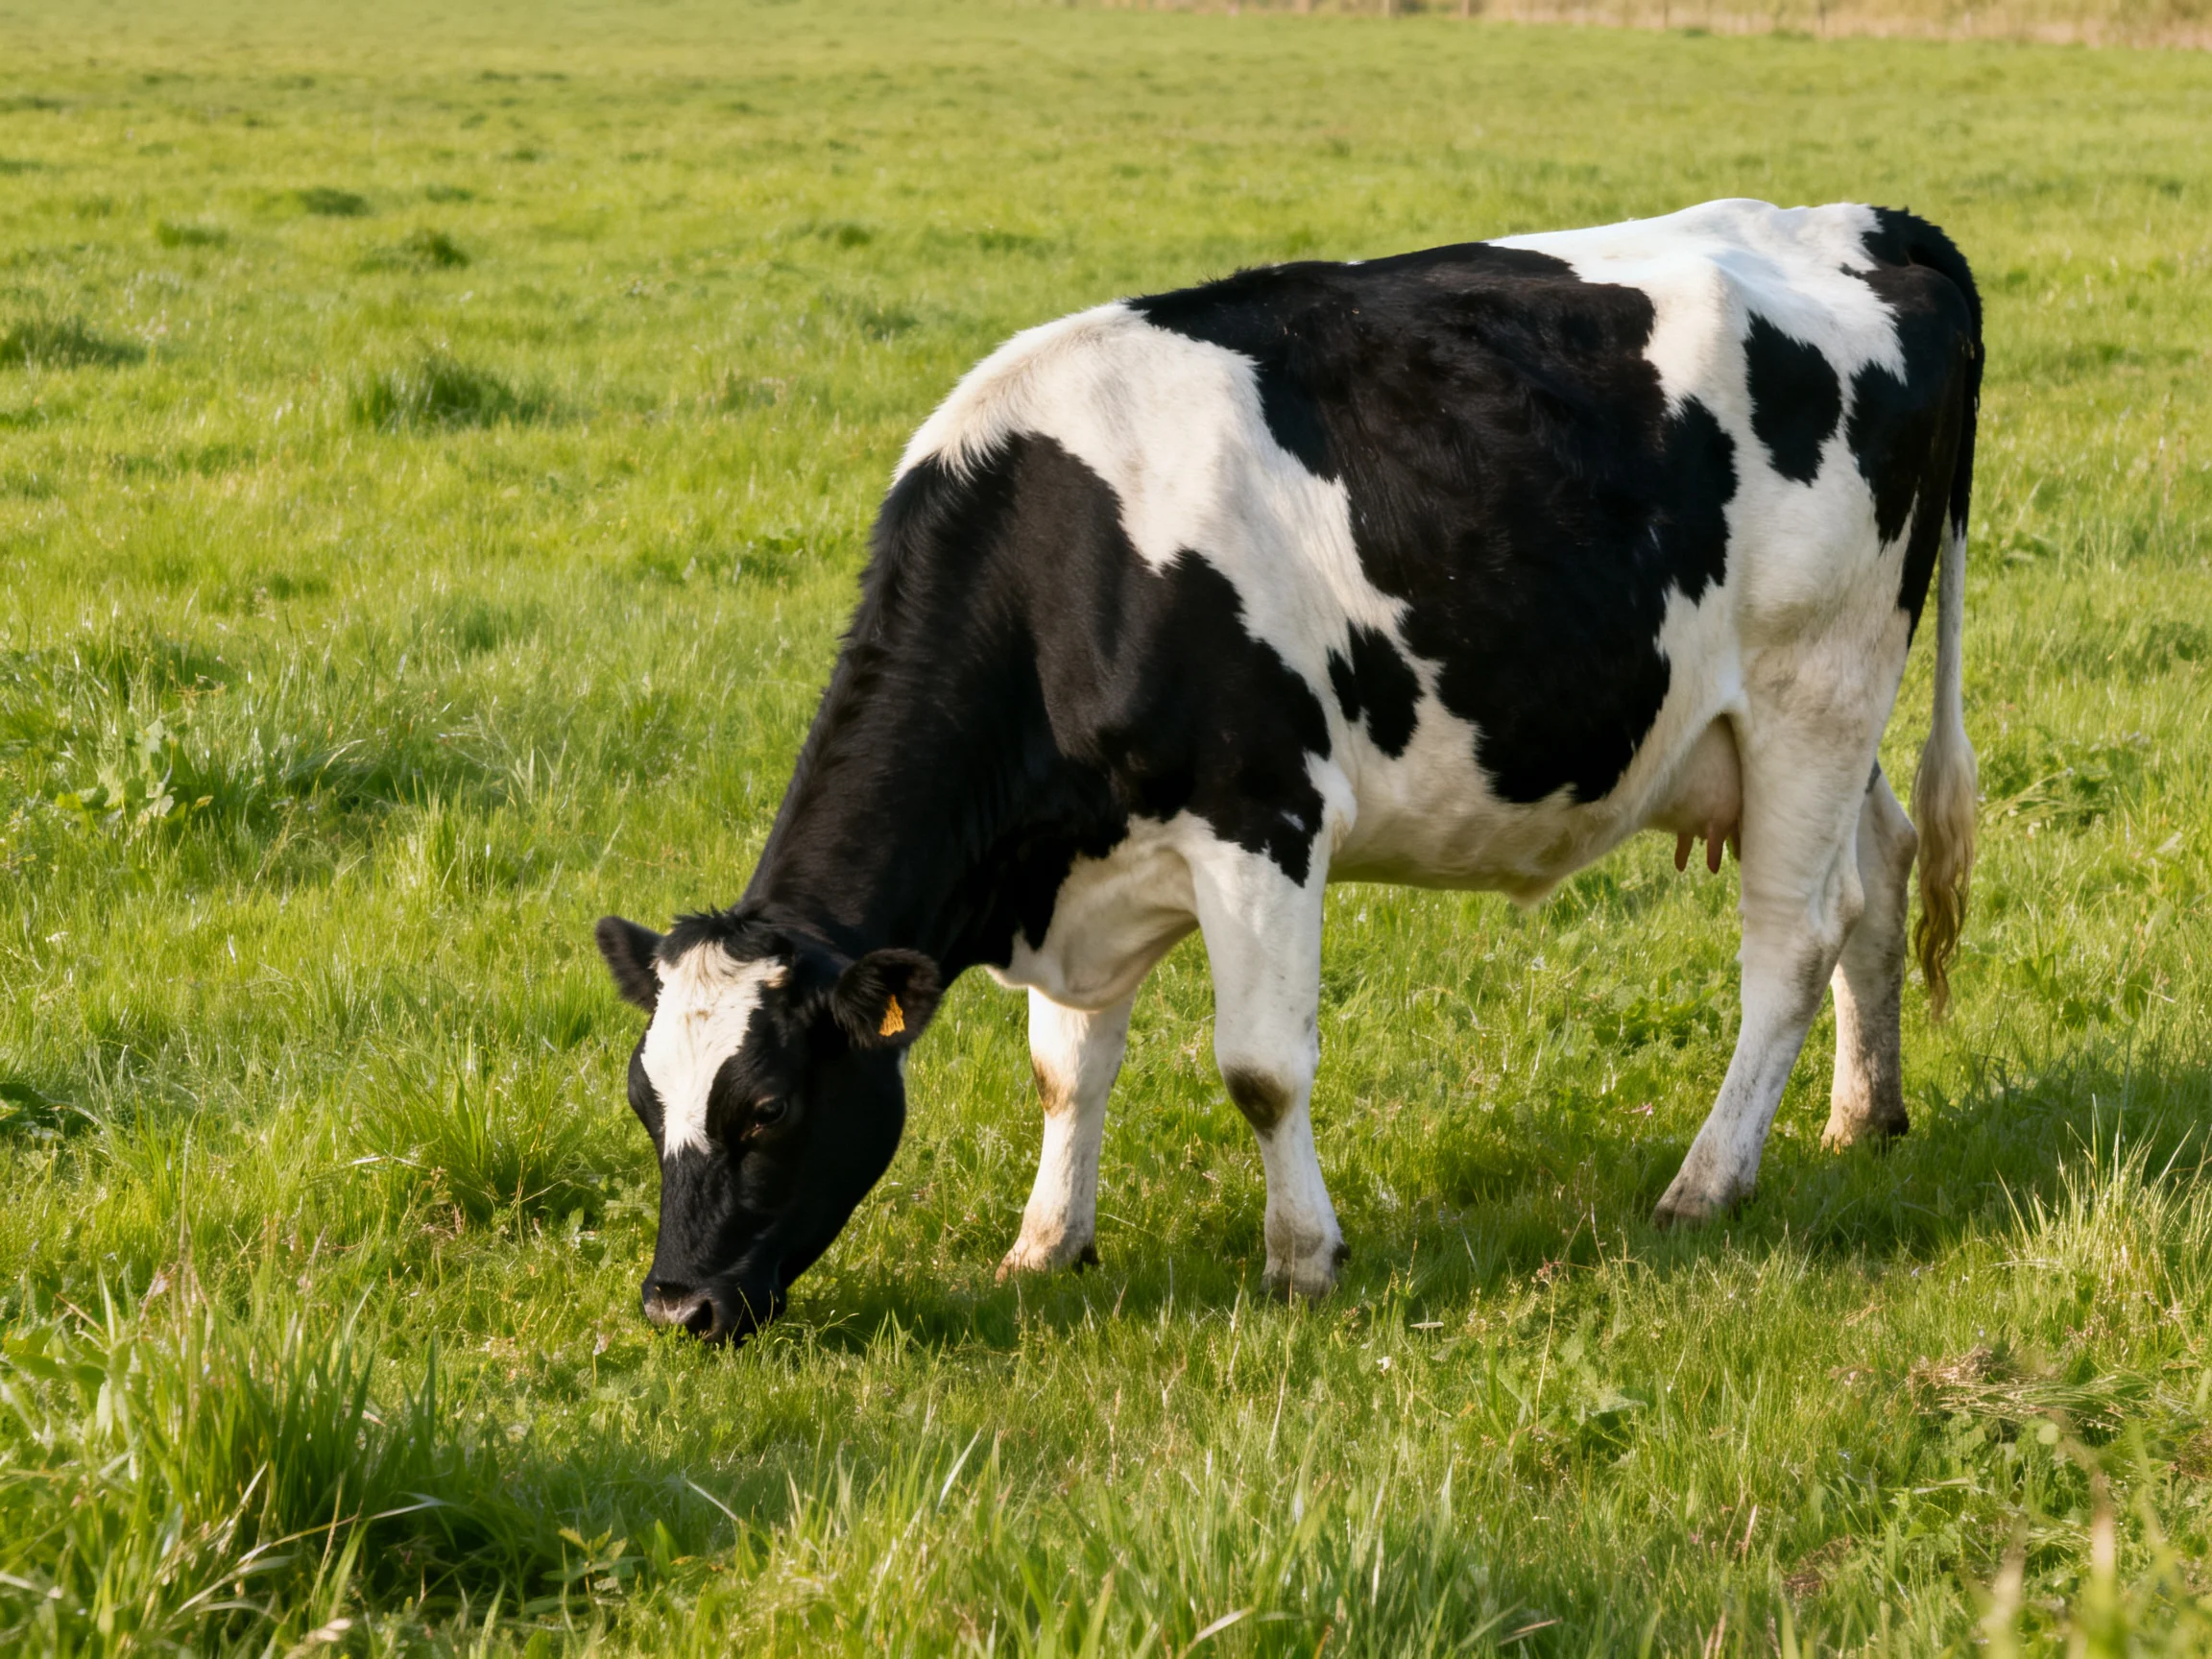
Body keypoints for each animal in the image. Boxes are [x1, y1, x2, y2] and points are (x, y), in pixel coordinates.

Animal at [595, 198, 1981, 1342]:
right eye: (647, 1107)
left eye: (770, 1111)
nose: (677, 1306)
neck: (1070, 573)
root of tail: (1872, 223)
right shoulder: (1089, 859)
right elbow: (1066, 1068)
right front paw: (1046, 1246)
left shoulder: (1262, 820)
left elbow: (1261, 1071)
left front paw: (1303, 1258)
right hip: (1796, 721)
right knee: (1880, 868)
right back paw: (1865, 1115)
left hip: (1817, 681)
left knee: (1792, 940)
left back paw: (1706, 1183)